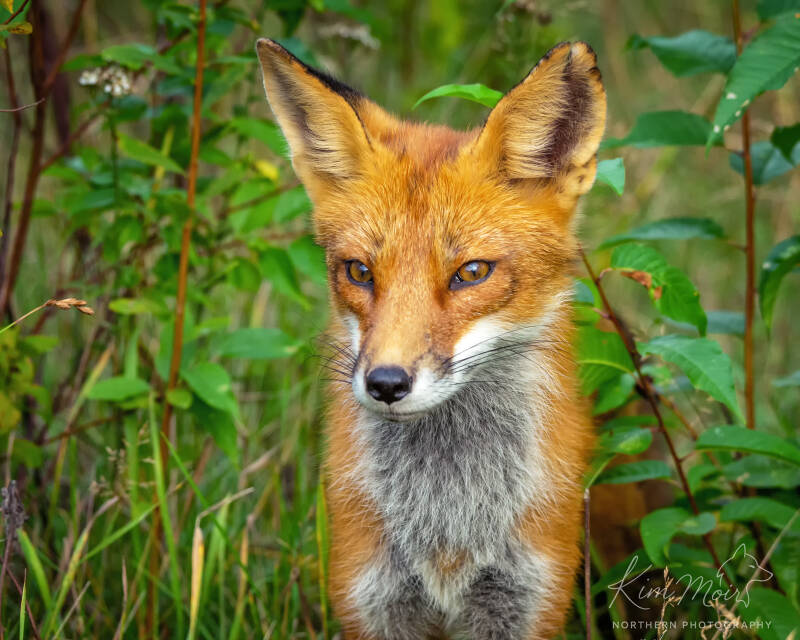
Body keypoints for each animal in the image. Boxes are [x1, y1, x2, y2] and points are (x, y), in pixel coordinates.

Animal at [256, 37, 606, 639]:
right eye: (359, 272)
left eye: (471, 273)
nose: (386, 383)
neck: (446, 528)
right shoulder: (372, 595)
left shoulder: (526, 599)